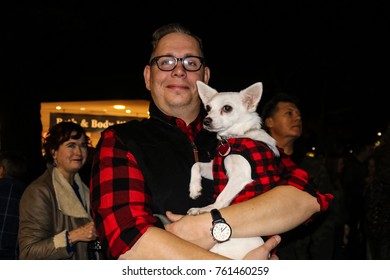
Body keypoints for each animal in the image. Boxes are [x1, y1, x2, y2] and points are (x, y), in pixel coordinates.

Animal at [187, 80, 280, 260]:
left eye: (227, 108)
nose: (206, 120)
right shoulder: (213, 168)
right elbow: (195, 165)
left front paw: (204, 209)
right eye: (208, 108)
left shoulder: (240, 177)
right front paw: (195, 189)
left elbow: (221, 198)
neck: (233, 138)